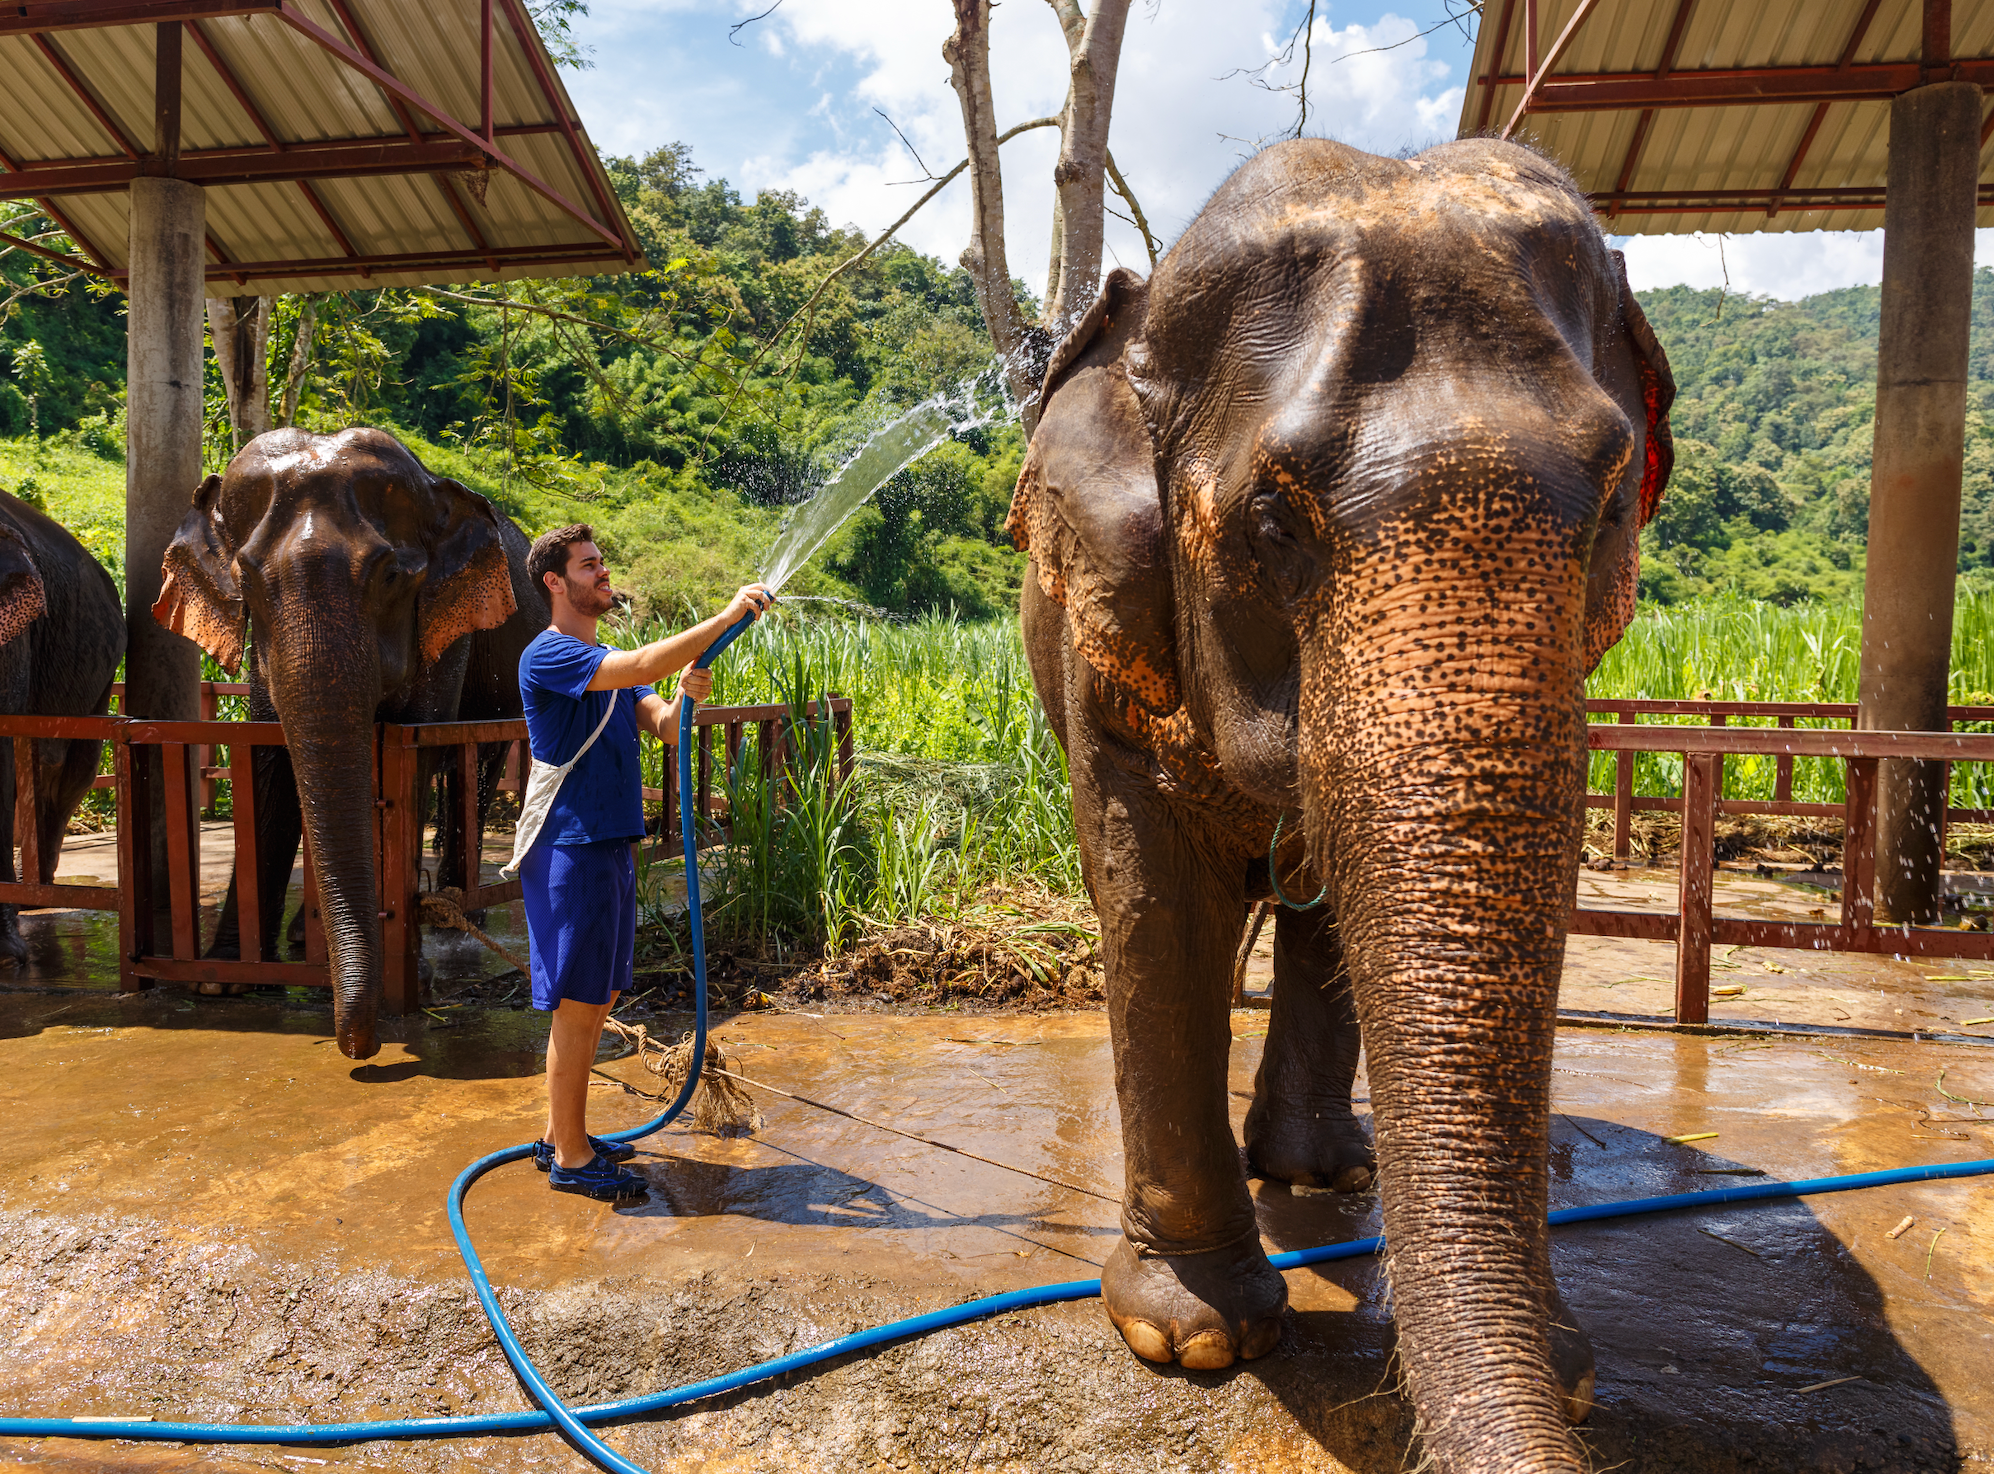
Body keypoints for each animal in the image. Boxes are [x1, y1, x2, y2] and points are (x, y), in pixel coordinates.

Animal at [155, 426, 542, 1061]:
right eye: (247, 580)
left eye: (391, 577)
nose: (358, 1048)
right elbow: (271, 763)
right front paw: (222, 980)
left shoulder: (443, 629)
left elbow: (414, 753)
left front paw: (411, 978)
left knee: (477, 765)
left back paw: (449, 916)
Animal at [1004, 132, 1674, 1468]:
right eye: (1272, 518)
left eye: (1610, 495)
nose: (1568, 1398)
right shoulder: (1106, 648)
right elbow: (1155, 900)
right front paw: (1193, 1338)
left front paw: (1566, 1369)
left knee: (1318, 915)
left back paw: (1321, 1172)